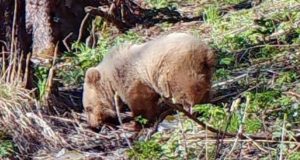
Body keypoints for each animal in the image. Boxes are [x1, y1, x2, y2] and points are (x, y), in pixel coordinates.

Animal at [82, 32, 216, 129]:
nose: (93, 125)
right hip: (204, 70)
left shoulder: (133, 77)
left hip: (178, 68)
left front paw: (133, 124)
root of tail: (206, 51)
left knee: (187, 88)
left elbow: (140, 102)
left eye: (88, 108)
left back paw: (191, 111)